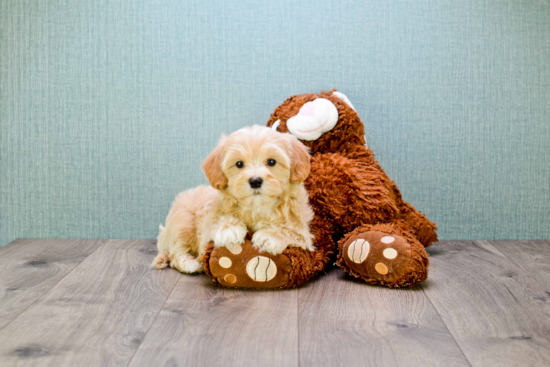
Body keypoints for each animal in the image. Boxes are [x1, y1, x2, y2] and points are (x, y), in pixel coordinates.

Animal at [152, 126, 314, 274]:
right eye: (239, 164)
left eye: (272, 162)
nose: (255, 181)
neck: (257, 206)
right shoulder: (208, 222)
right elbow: (217, 222)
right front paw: (229, 229)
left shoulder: (302, 230)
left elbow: (291, 231)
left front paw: (269, 236)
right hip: (183, 221)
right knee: (175, 254)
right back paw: (190, 263)